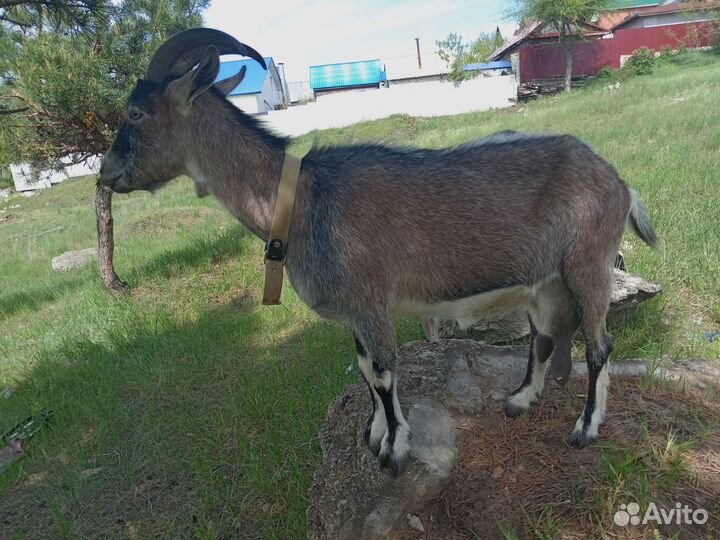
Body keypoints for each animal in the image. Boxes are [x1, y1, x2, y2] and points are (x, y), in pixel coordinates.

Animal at [99, 29, 658, 476]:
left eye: (135, 112)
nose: (106, 174)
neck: (303, 201)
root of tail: (620, 183)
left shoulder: (371, 301)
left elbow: (385, 373)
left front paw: (393, 451)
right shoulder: (356, 311)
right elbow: (366, 369)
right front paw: (373, 434)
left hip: (588, 264)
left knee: (600, 345)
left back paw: (585, 428)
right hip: (543, 282)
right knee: (542, 338)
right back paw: (520, 400)